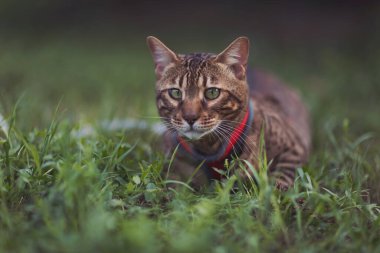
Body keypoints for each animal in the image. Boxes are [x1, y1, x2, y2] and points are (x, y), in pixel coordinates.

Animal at [147, 36, 310, 190]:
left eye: (212, 92)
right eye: (175, 93)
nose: (190, 117)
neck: (209, 148)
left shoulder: (293, 147)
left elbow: (283, 174)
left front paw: (277, 189)